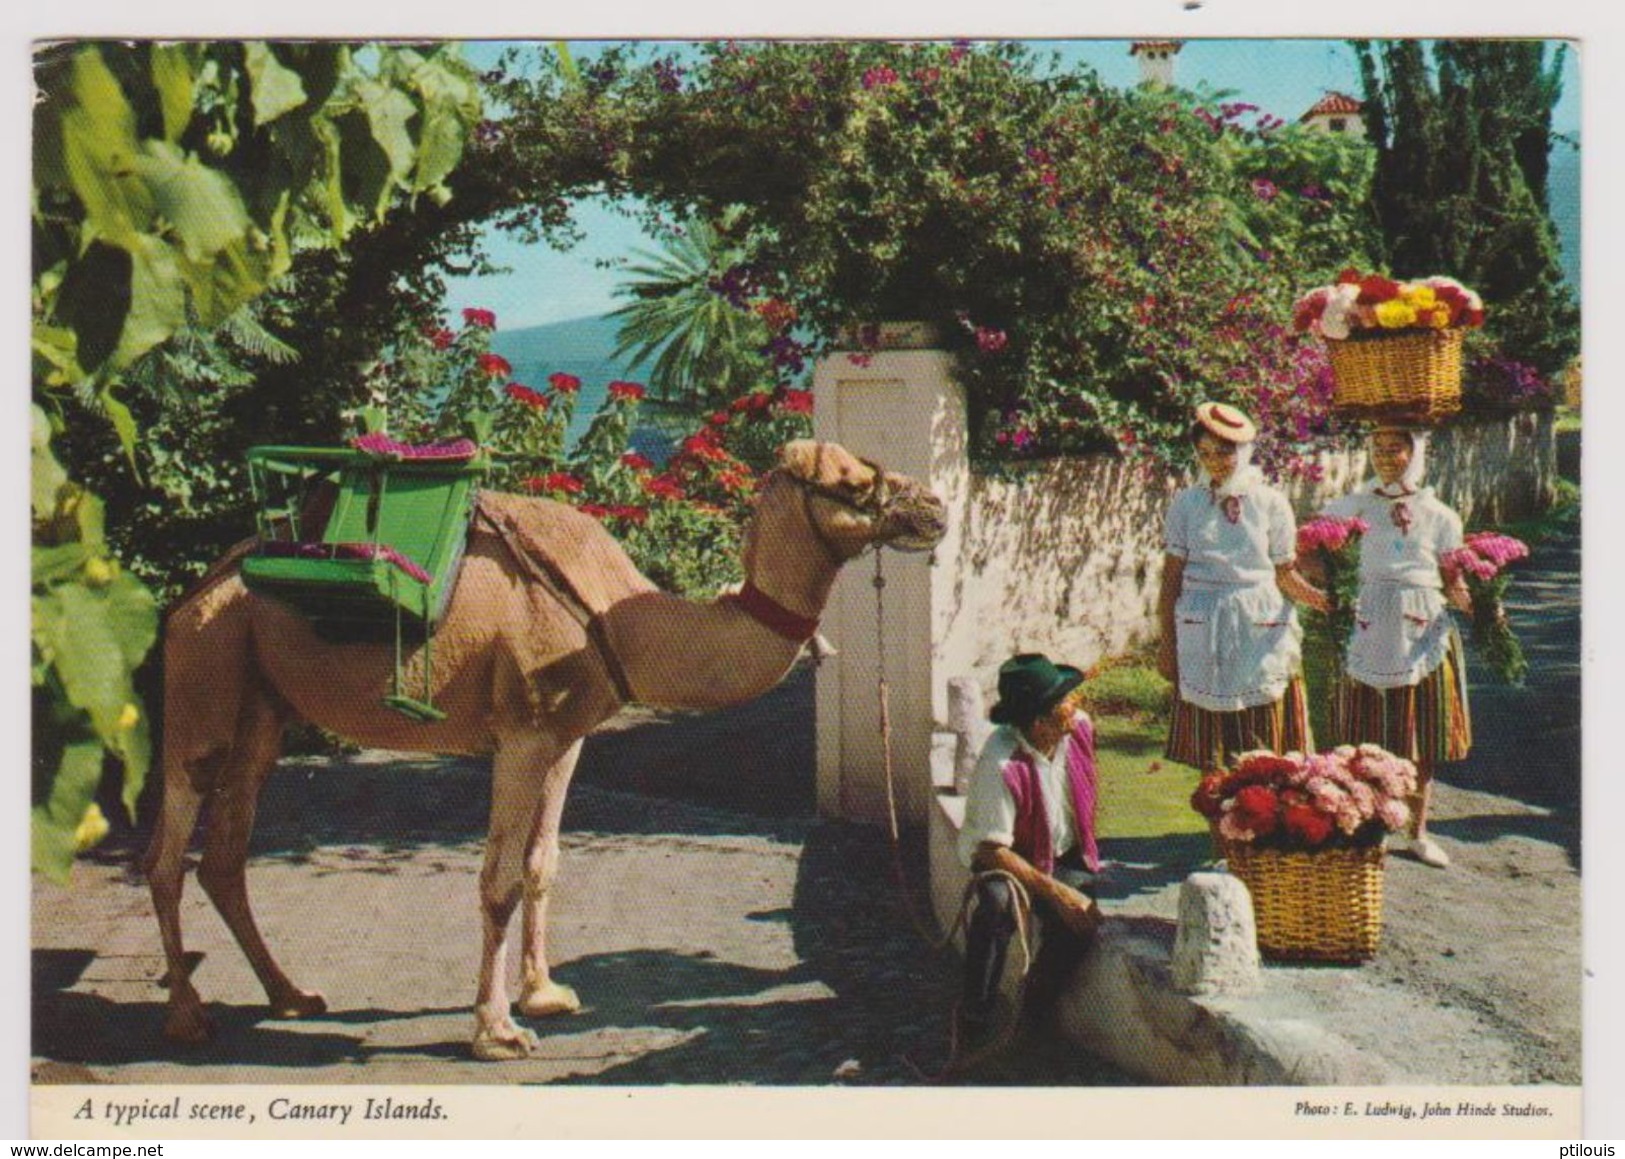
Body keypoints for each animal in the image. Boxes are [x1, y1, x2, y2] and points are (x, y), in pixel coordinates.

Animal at [149, 438, 949, 1059]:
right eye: (851, 481)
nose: (935, 508)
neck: (623, 621)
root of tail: (197, 592)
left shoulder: (567, 738)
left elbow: (543, 862)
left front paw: (544, 993)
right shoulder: (523, 733)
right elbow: (497, 878)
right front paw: (496, 1031)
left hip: (262, 708)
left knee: (224, 856)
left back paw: (290, 994)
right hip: (202, 679)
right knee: (167, 853)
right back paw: (188, 1017)